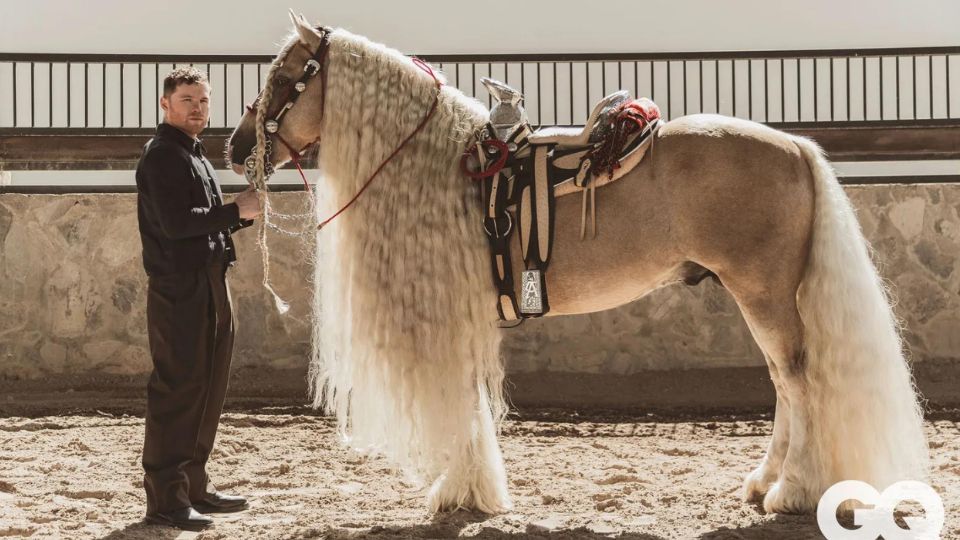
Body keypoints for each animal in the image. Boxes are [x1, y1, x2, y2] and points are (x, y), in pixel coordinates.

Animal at [227, 12, 928, 516]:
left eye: (286, 77)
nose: (234, 147)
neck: (439, 166)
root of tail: (794, 145)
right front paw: (472, 488)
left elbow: (462, 401)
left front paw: (463, 491)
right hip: (760, 295)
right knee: (785, 382)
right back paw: (764, 482)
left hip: (764, 294)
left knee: (799, 381)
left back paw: (793, 491)